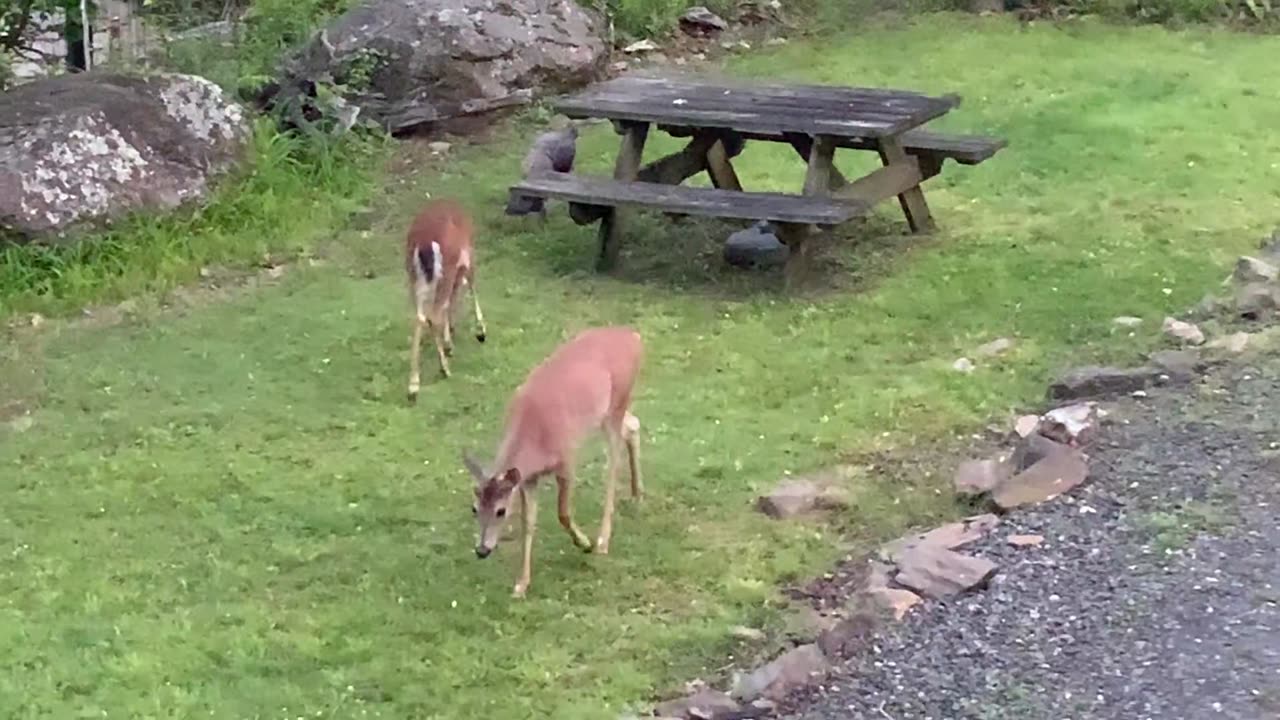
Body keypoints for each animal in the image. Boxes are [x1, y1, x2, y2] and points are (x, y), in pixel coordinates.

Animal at [404, 196, 488, 399]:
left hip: (414, 275)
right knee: (433, 315)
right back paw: (444, 369)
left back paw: (413, 385)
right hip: (447, 269)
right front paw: (480, 331)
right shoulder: (468, 256)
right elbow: (471, 286)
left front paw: (450, 336)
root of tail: (425, 243)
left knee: (420, 317)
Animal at [460, 325, 645, 594]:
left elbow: (563, 512)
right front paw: (521, 584)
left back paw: (602, 540)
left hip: (618, 400)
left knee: (613, 462)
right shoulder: (527, 479)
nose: (482, 550)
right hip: (607, 412)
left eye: (500, 511)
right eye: (474, 508)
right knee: (633, 426)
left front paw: (584, 543)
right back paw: (637, 495)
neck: (534, 439)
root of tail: (634, 336)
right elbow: (528, 523)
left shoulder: (566, 458)